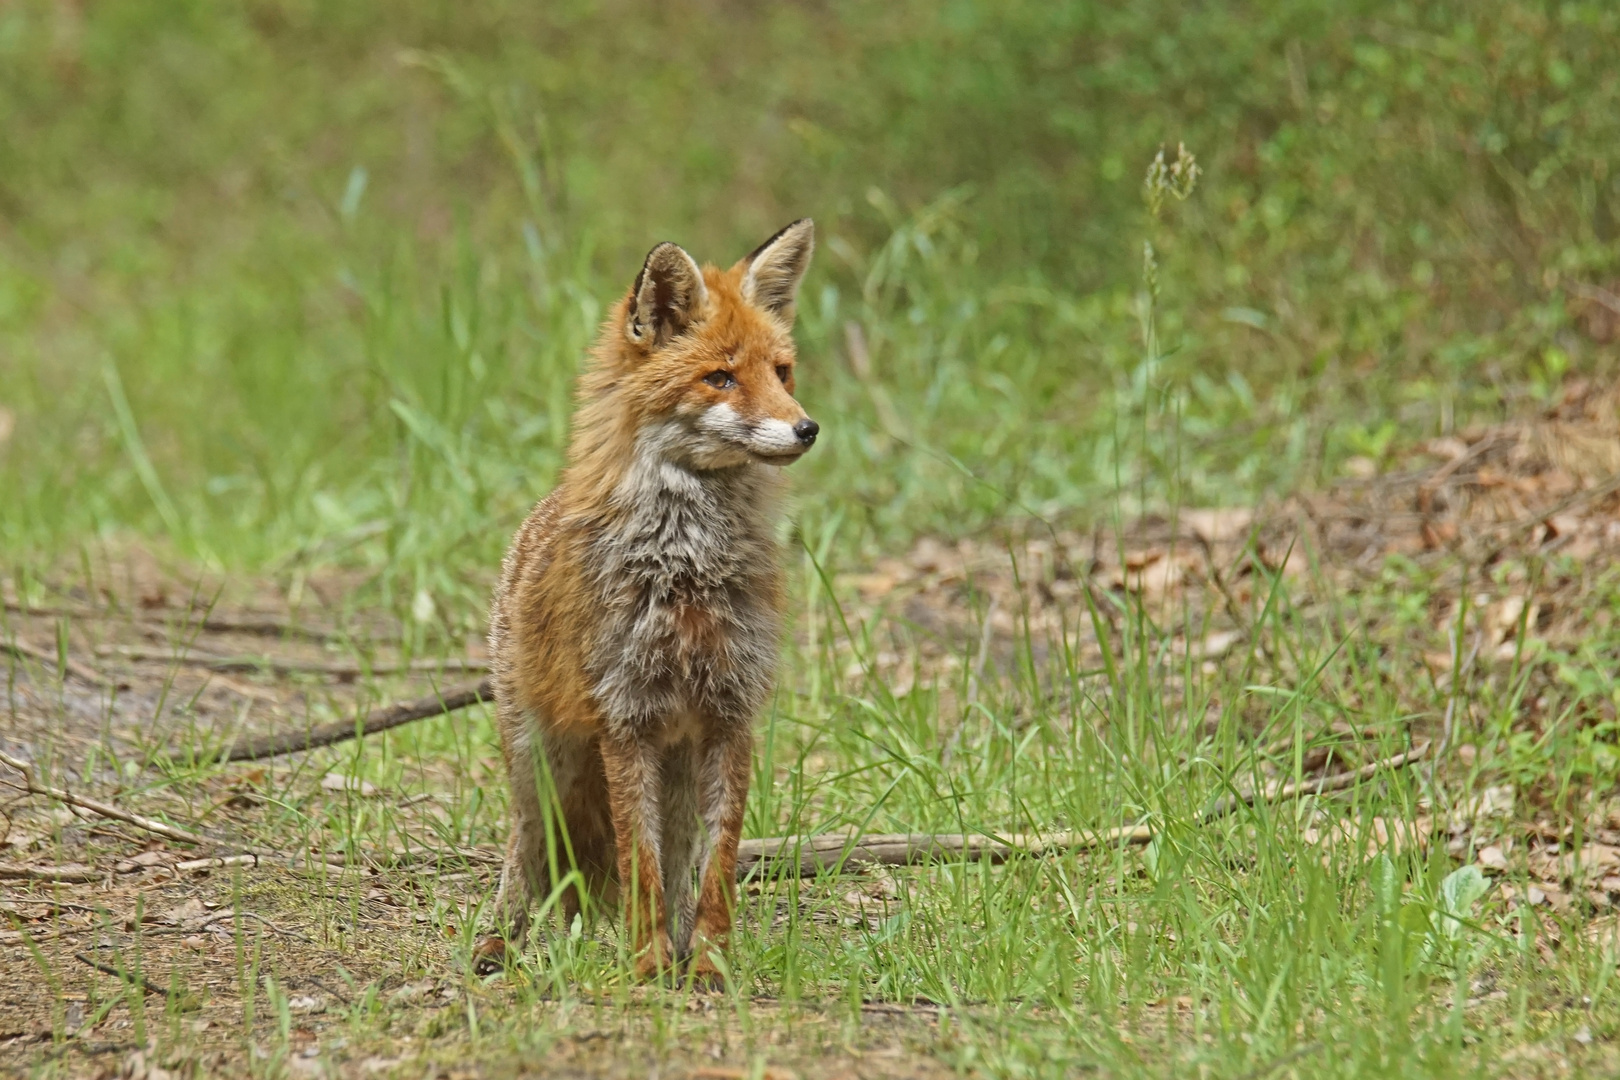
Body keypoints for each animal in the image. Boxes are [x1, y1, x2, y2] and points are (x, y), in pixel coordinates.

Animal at [473, 220, 816, 990]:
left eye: (782, 373)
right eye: (721, 377)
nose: (807, 429)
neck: (687, 567)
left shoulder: (730, 716)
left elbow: (714, 869)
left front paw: (707, 964)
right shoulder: (624, 719)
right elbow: (639, 866)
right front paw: (648, 964)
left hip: (676, 772)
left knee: (677, 859)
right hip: (541, 764)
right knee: (524, 854)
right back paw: (497, 944)